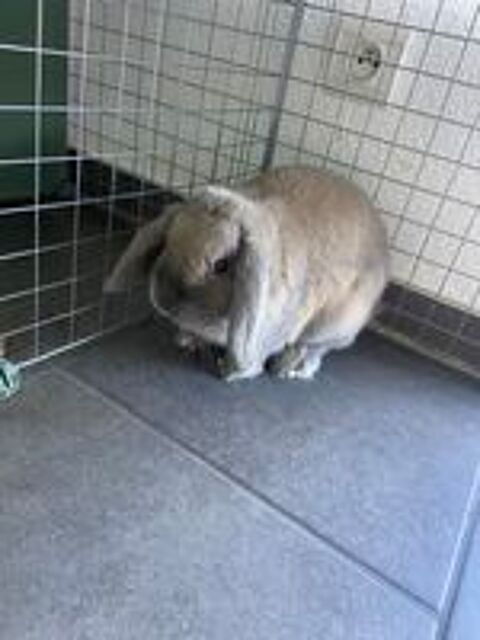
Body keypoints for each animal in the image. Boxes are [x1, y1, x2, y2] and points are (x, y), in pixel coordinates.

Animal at [105, 166, 389, 381]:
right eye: (169, 241)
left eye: (221, 265)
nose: (164, 300)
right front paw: (187, 341)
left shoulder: (271, 333)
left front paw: (233, 372)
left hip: (334, 326)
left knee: (313, 349)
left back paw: (289, 369)